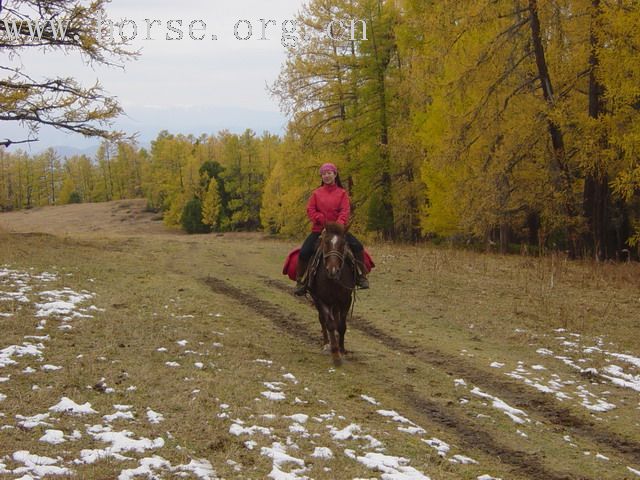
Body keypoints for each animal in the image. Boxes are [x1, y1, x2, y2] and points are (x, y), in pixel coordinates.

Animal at [306, 223, 356, 366]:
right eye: (326, 242)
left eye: (343, 243)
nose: (333, 270)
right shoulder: (321, 300)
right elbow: (330, 324)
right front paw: (335, 354)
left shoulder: (346, 300)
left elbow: (341, 326)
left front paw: (342, 349)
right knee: (323, 320)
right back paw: (326, 344)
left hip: (337, 304)